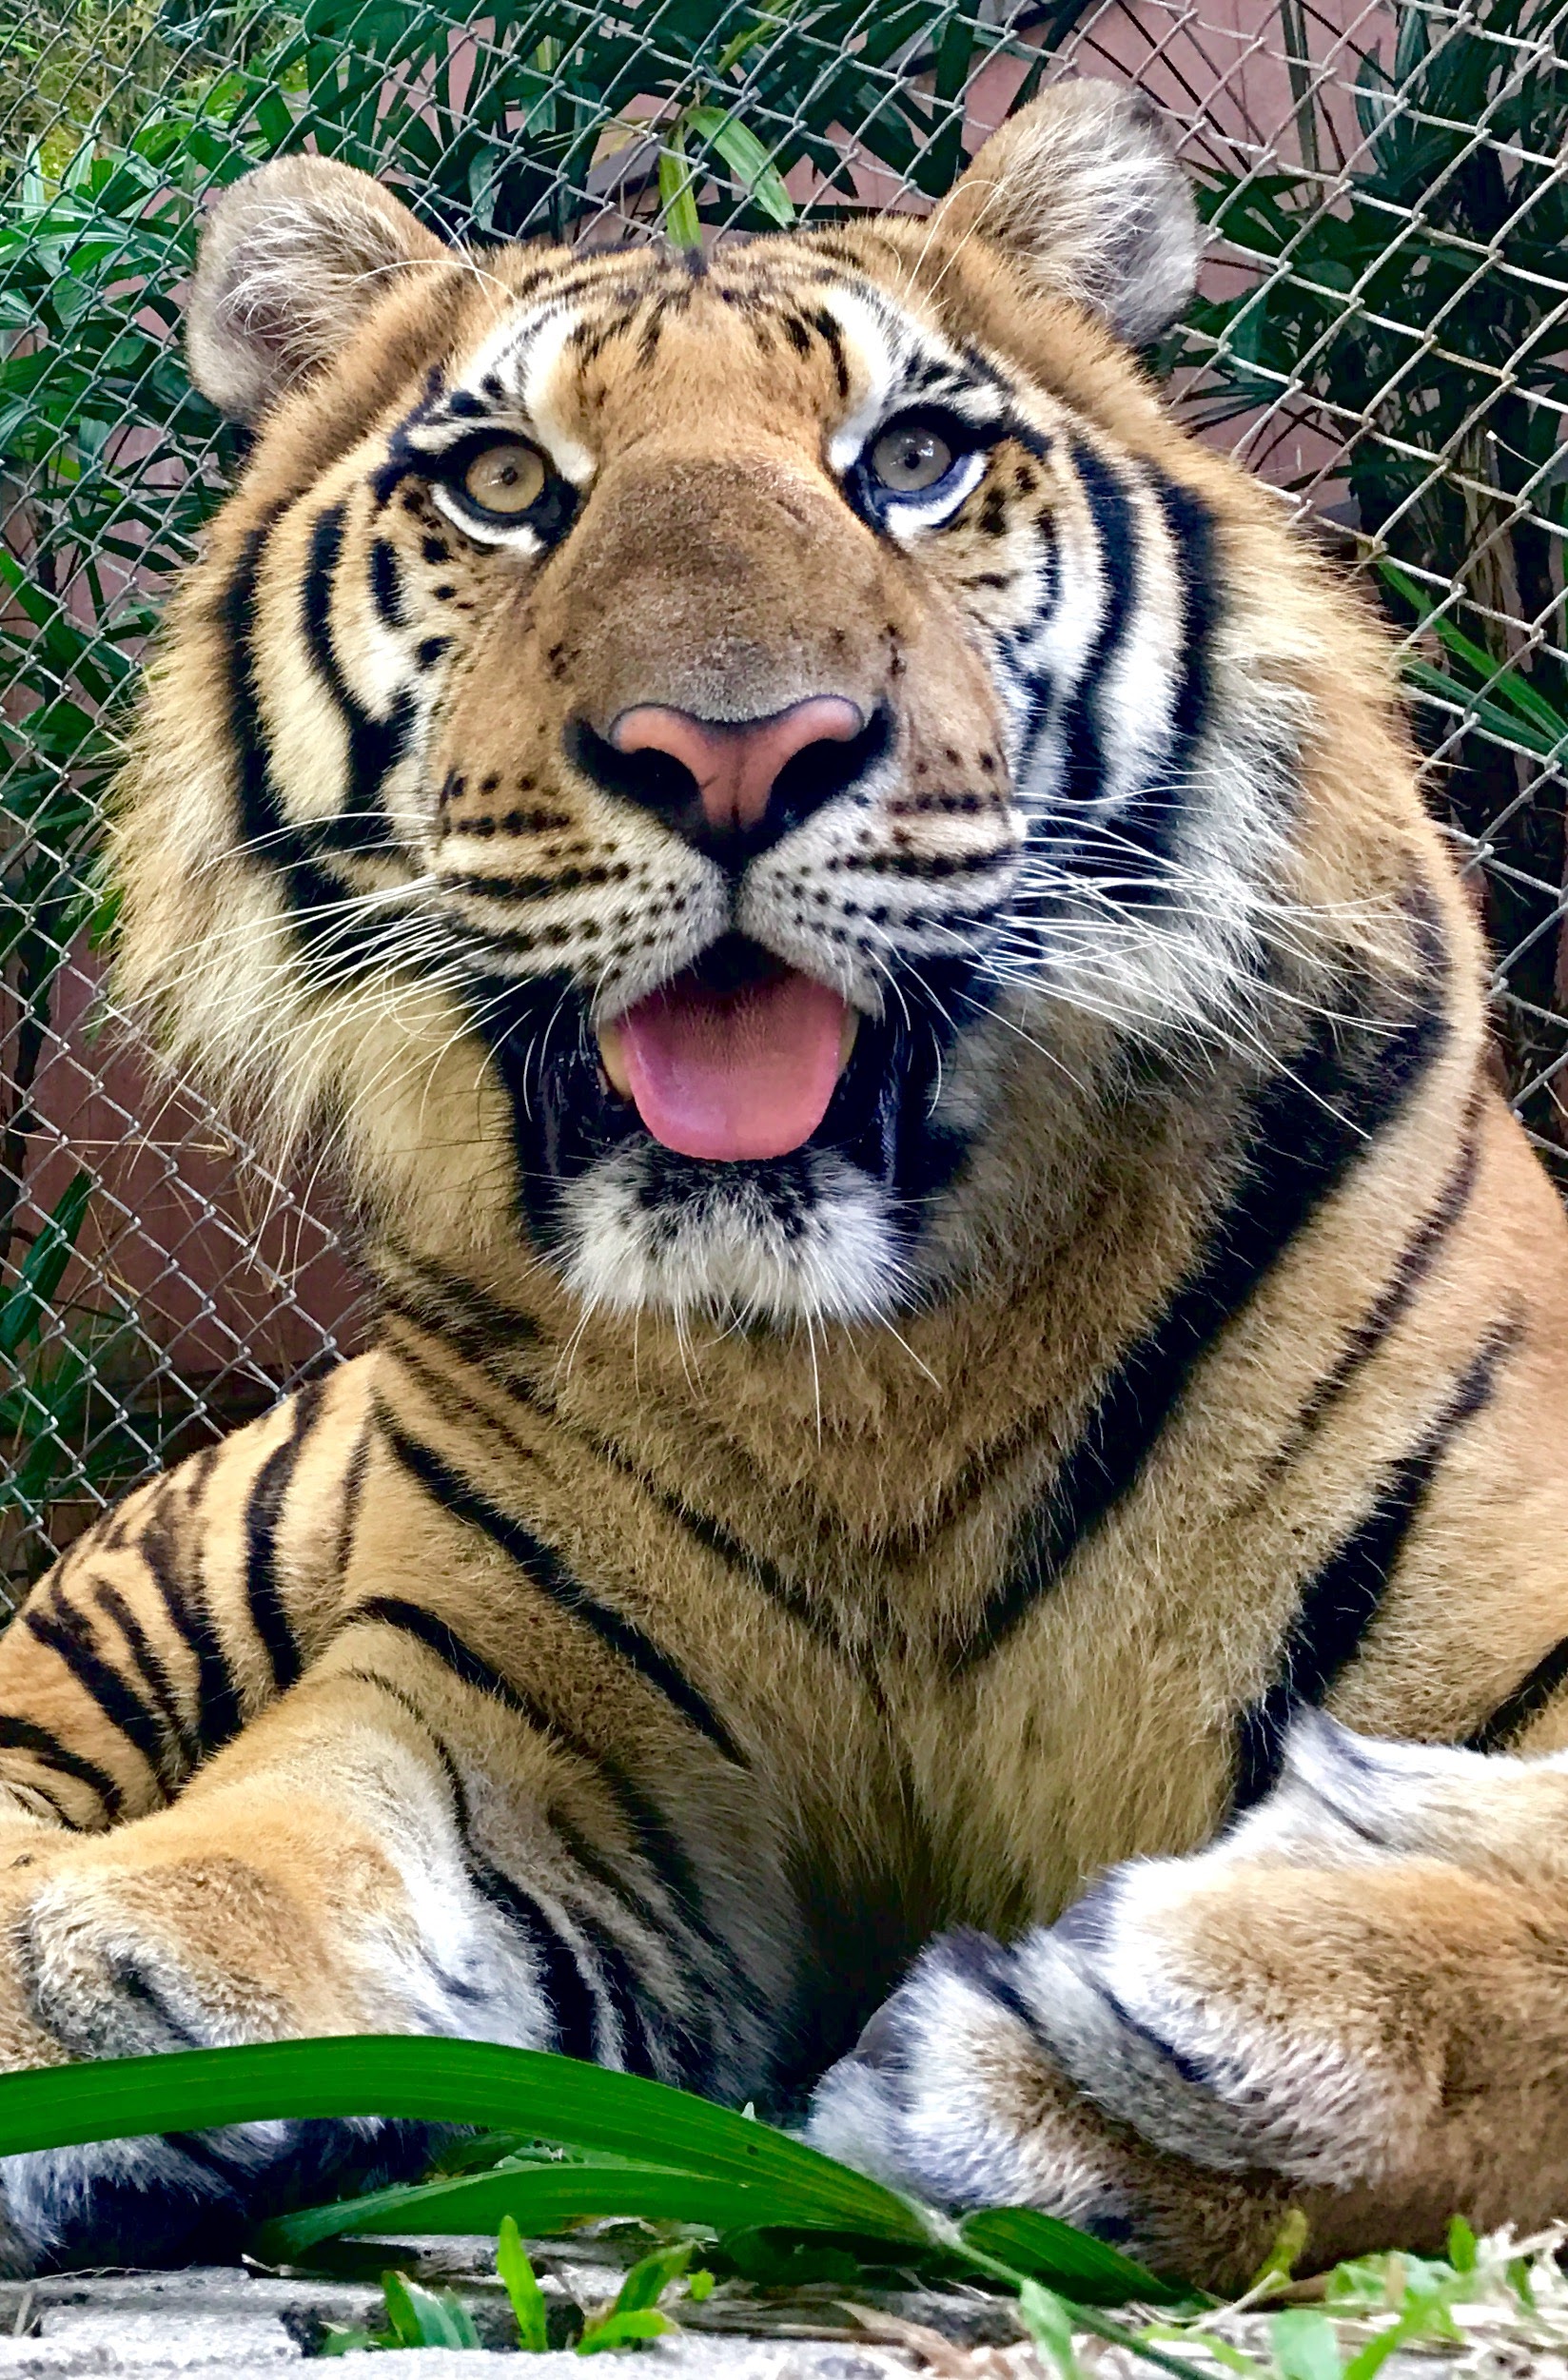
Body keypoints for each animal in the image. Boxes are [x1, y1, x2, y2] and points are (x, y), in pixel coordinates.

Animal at [1, 74, 1567, 2288]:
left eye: (910, 460)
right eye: (503, 482)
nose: (733, 751)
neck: (866, 1378)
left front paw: (1187, 2032)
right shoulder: (519, 1726)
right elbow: (274, 1828)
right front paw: (78, 1981)